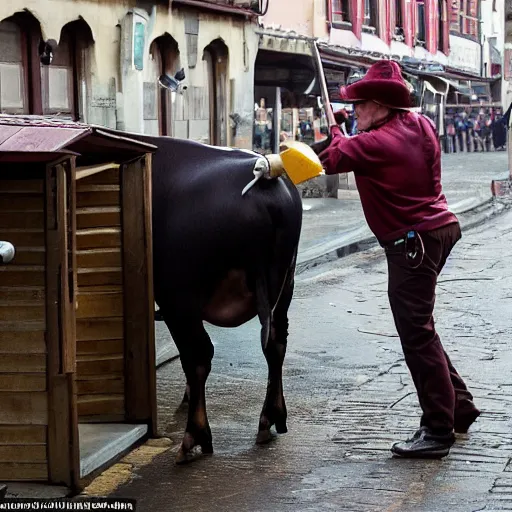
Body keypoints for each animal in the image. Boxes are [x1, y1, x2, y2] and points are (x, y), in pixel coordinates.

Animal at [125, 133, 304, 464]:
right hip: (285, 284)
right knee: (275, 343)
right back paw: (269, 419)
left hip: (179, 296)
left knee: (198, 355)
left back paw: (193, 439)